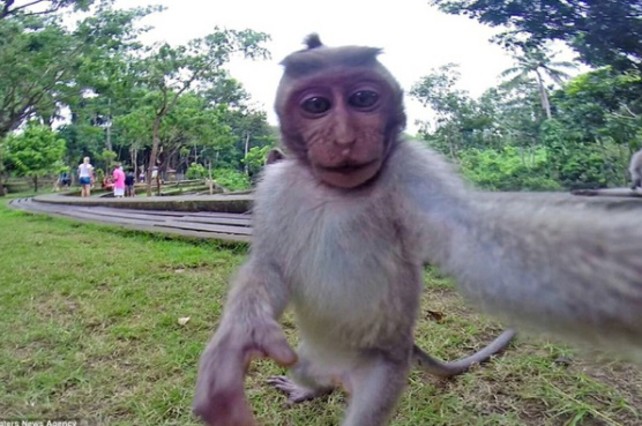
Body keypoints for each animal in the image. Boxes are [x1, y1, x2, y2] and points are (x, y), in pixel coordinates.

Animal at [193, 34, 642, 426]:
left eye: (363, 99)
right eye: (317, 105)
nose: (344, 138)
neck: (335, 192)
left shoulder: (412, 171)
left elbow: (476, 242)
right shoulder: (275, 186)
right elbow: (269, 263)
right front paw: (237, 341)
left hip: (384, 369)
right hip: (308, 353)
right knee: (310, 371)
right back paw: (310, 388)